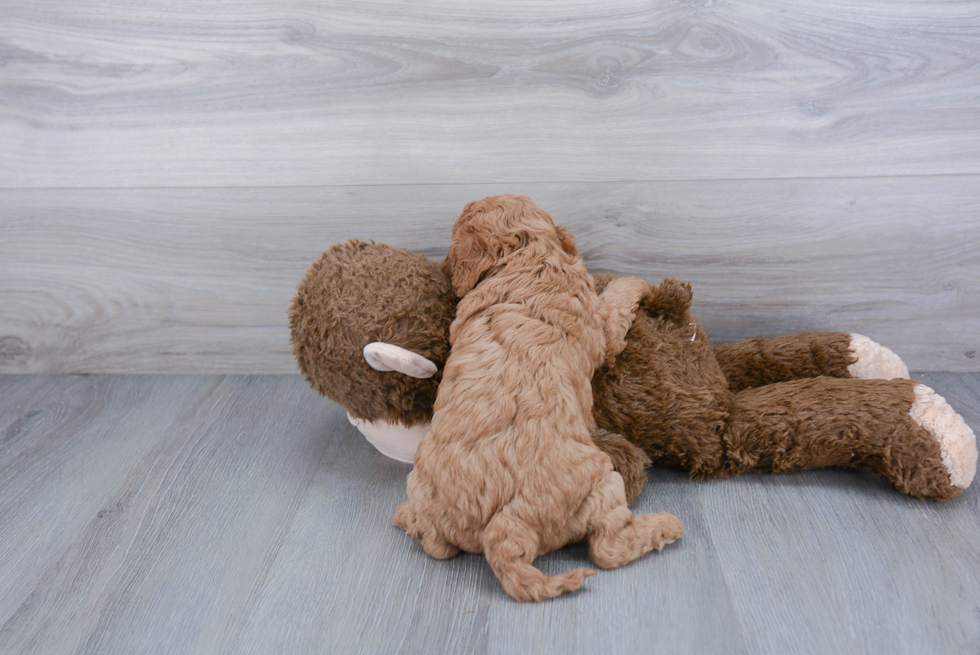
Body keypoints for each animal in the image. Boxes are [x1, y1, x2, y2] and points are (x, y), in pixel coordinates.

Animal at [390, 192, 680, 604]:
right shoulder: (603, 329)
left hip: (421, 484)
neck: (528, 254)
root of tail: (505, 526)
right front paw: (636, 281)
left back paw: (406, 517)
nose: (442, 269)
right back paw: (664, 526)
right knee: (607, 548)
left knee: (437, 545)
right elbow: (618, 297)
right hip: (601, 481)